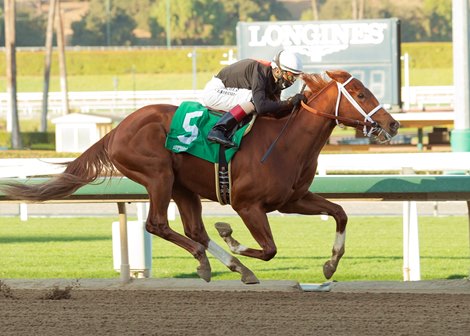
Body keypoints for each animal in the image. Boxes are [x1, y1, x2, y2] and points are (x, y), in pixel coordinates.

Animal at [4, 70, 400, 284]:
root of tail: (115, 130)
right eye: (361, 93)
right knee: (158, 224)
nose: (393, 124)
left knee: (193, 228)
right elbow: (269, 249)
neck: (285, 141)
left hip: (183, 187)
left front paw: (331, 264)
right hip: (158, 176)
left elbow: (340, 213)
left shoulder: (291, 199)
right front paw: (232, 238)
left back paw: (229, 266)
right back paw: (211, 259)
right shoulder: (247, 205)